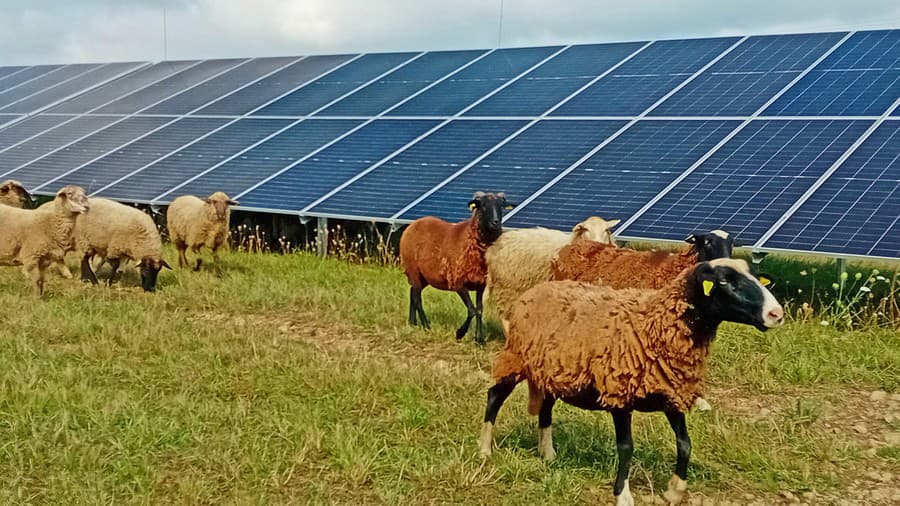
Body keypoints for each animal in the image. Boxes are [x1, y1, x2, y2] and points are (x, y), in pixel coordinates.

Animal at [400, 191, 512, 344]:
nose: (496, 222)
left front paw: (479, 340)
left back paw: (413, 323)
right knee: (417, 299)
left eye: (501, 206)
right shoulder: (458, 282)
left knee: (412, 293)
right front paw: (460, 333)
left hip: (424, 277)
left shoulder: (480, 285)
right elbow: (472, 310)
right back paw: (426, 325)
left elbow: (479, 310)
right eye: (482, 206)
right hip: (413, 270)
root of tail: (413, 224)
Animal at [482, 258, 784, 504]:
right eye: (724, 281)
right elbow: (626, 448)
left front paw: (674, 491)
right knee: (494, 396)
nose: (776, 314)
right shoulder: (620, 394)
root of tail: (533, 292)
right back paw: (485, 450)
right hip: (516, 358)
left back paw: (548, 454)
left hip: (551, 370)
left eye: (756, 277)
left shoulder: (671, 392)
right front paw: (623, 495)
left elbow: (685, 444)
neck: (655, 323)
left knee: (545, 409)